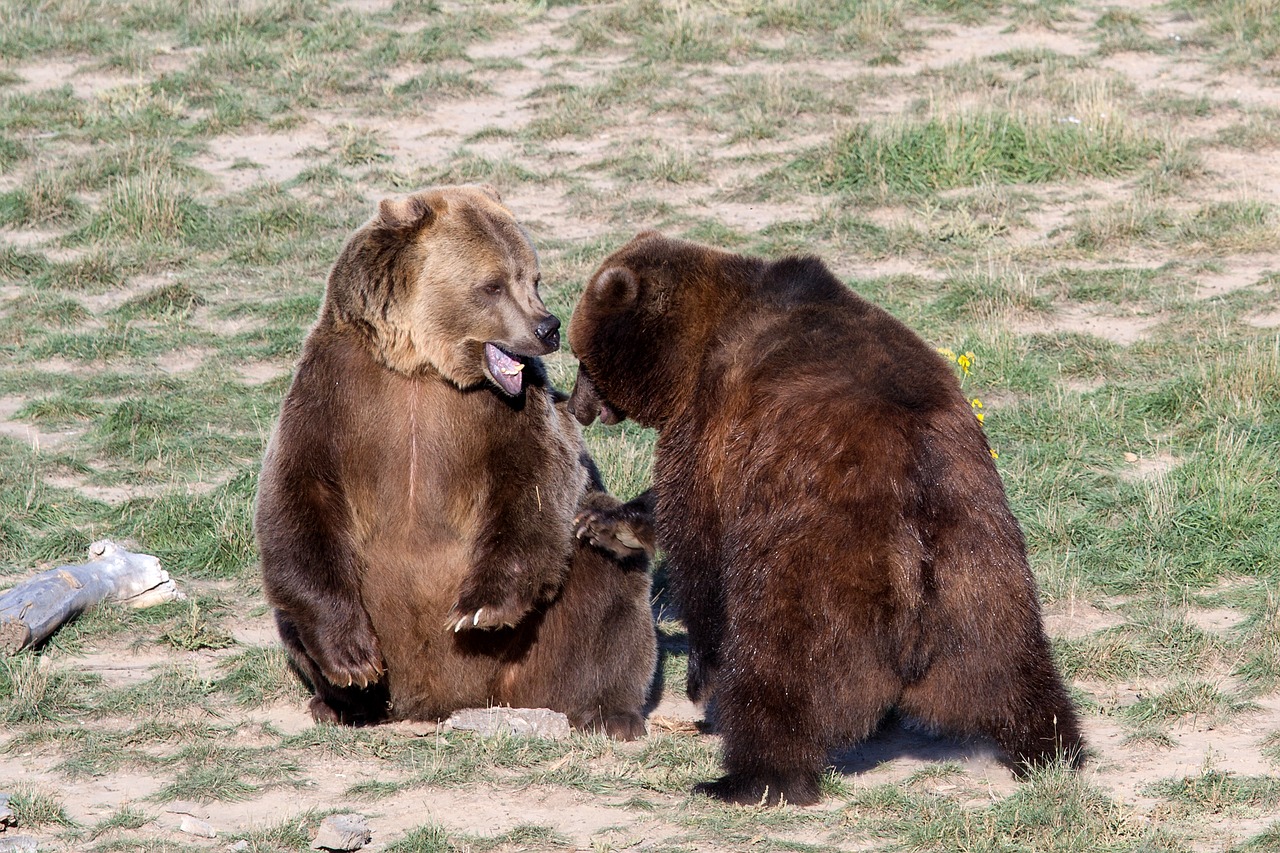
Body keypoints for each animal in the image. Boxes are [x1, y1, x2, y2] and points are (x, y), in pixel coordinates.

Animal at [257, 188, 660, 737]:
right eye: (492, 284)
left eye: (532, 277)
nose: (548, 327)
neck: (421, 366)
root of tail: (440, 702)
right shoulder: (335, 392)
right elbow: (301, 496)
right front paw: (353, 661)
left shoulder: (507, 411)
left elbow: (536, 482)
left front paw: (479, 609)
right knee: (291, 616)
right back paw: (344, 706)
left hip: (532, 658)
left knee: (605, 579)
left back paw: (608, 712)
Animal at [568, 230, 1080, 799]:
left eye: (582, 357)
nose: (575, 406)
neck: (697, 347)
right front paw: (605, 523)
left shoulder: (714, 424)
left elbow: (697, 541)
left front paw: (702, 678)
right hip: (978, 556)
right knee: (1010, 665)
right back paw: (1050, 745)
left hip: (820, 556)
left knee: (781, 666)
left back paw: (749, 777)